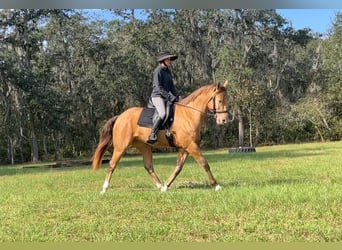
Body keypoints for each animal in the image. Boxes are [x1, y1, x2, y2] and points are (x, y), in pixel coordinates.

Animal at [92, 81, 228, 192]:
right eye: (220, 101)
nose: (224, 120)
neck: (188, 115)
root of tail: (120, 117)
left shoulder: (185, 147)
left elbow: (178, 167)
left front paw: (166, 186)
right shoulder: (191, 145)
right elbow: (204, 163)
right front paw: (216, 185)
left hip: (144, 146)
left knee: (148, 166)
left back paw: (159, 186)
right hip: (121, 147)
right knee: (112, 164)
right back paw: (104, 188)